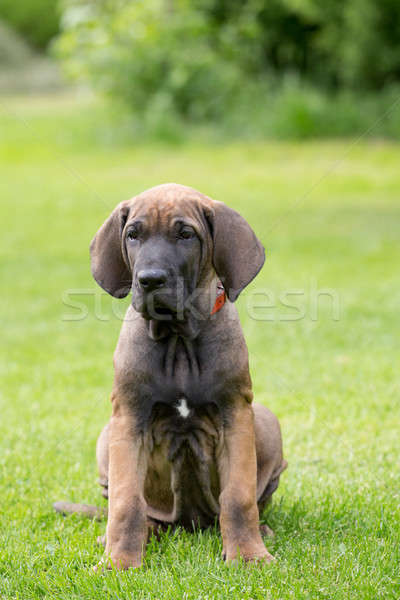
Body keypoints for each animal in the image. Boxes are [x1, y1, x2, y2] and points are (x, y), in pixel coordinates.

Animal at [61, 184, 286, 572]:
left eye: (185, 235)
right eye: (133, 234)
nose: (150, 279)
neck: (178, 337)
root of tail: (188, 524)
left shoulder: (236, 416)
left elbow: (239, 498)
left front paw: (248, 555)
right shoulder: (129, 420)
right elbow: (126, 503)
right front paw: (119, 562)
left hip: (267, 422)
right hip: (107, 437)